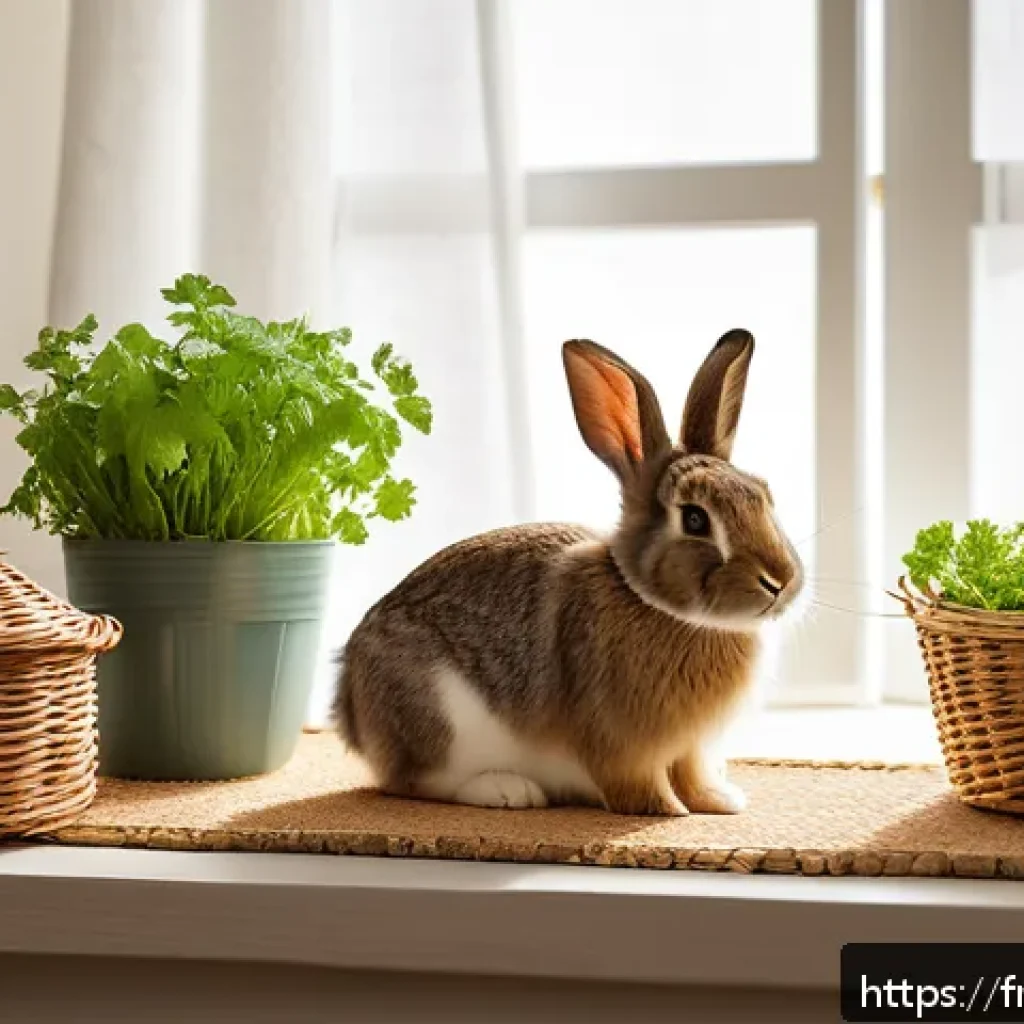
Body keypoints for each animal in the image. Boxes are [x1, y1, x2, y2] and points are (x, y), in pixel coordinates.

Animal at [332, 329, 804, 816]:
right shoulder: (623, 743)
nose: (781, 581)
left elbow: (692, 775)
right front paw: (668, 811)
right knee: (416, 782)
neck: (660, 607)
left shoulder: (689, 747)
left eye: (763, 495)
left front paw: (722, 801)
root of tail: (352, 706)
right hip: (439, 716)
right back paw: (508, 791)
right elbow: (639, 785)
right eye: (694, 520)